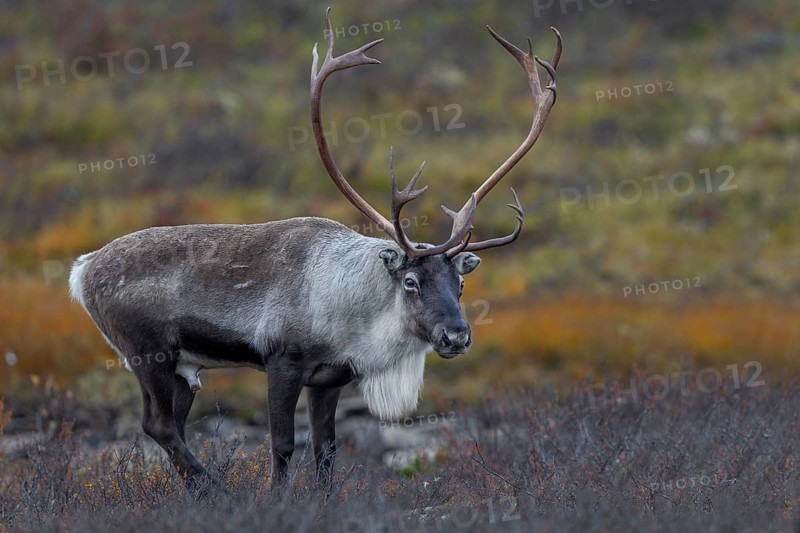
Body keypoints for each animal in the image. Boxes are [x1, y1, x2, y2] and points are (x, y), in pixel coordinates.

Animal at [68, 8, 562, 490]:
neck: (353, 311)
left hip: (183, 370)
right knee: (159, 424)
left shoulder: (330, 379)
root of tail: (83, 269)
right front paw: (276, 500)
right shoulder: (282, 362)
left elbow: (326, 451)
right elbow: (283, 445)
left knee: (175, 425)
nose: (456, 336)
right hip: (148, 354)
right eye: (410, 281)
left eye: (461, 283)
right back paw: (215, 489)